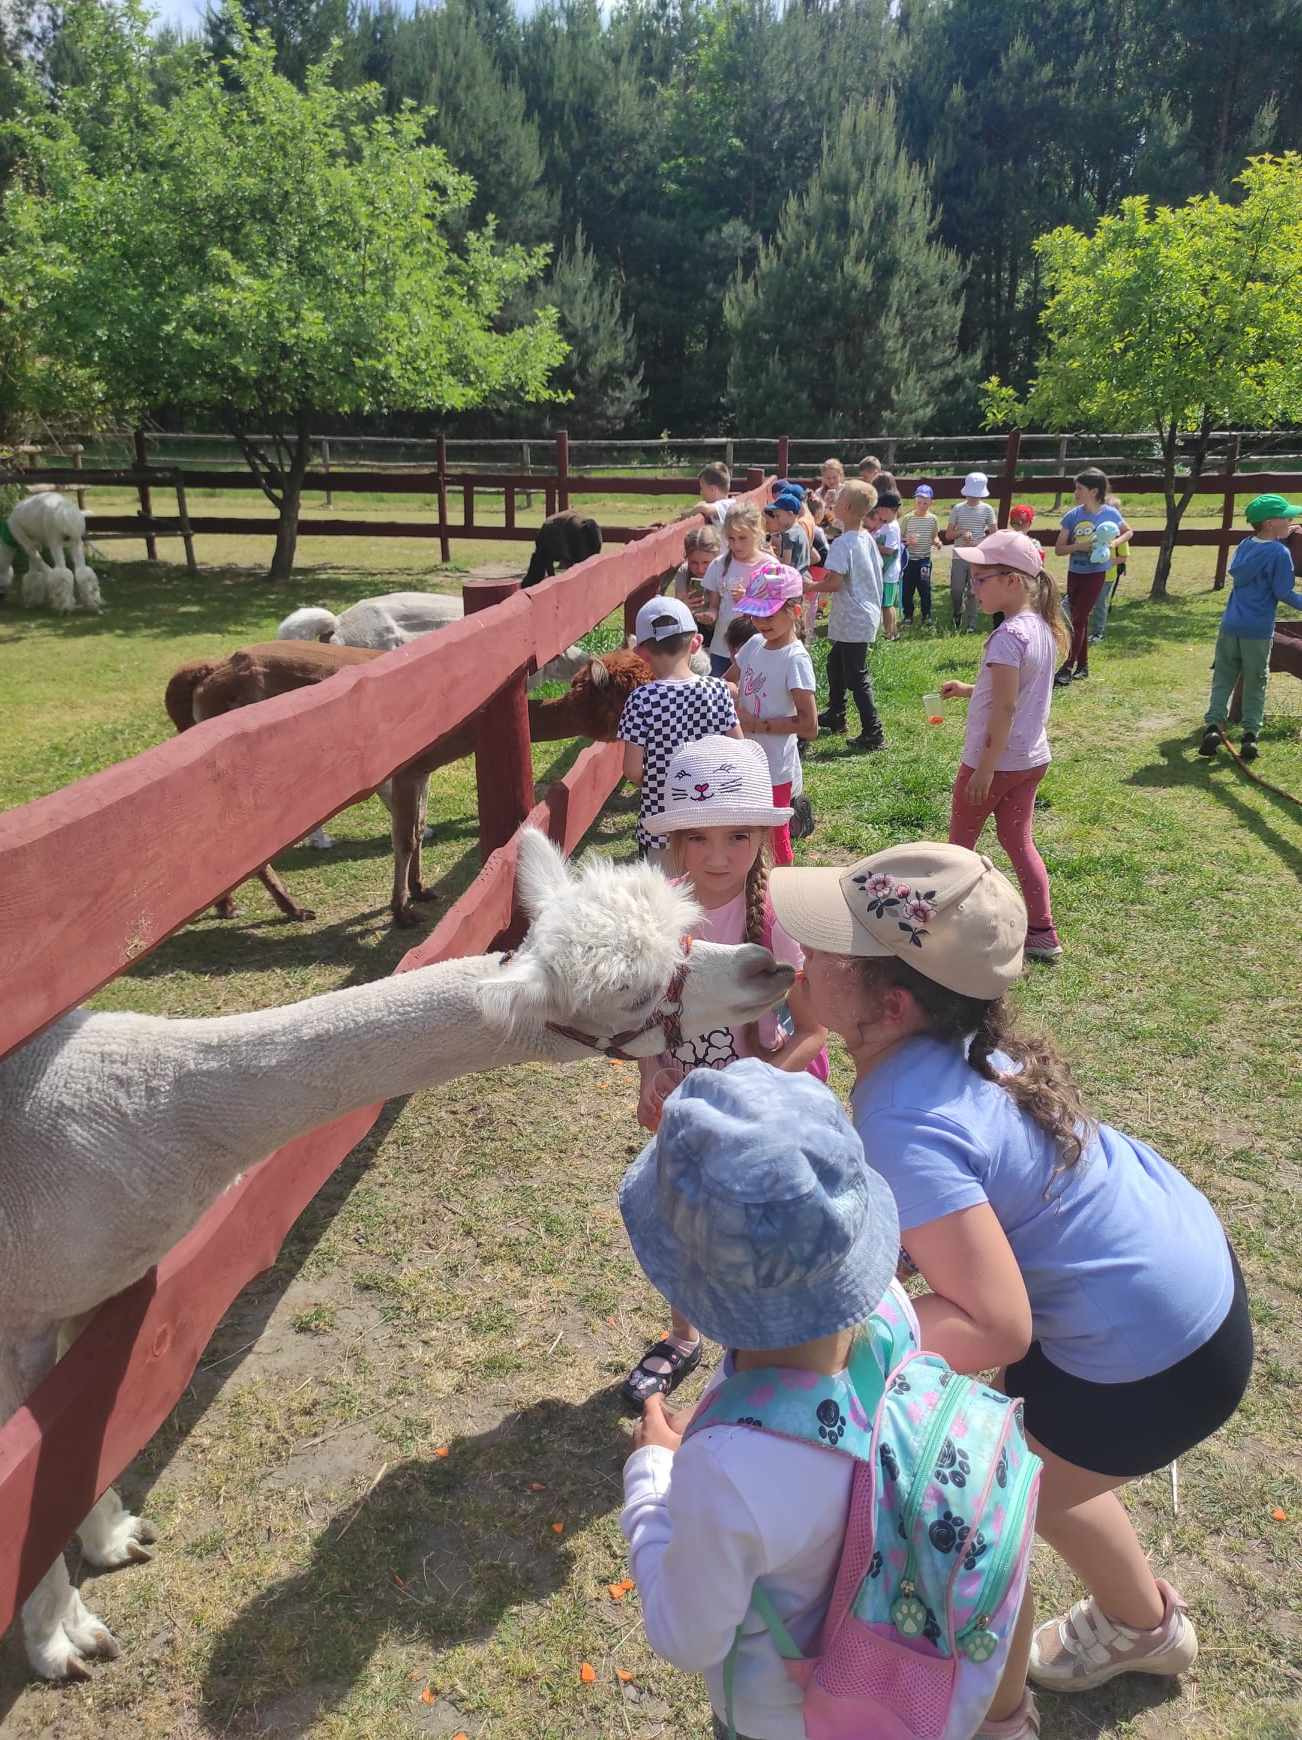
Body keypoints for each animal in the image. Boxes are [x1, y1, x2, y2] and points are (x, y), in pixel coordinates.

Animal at [0, 826, 794, 1681]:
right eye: (635, 995)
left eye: (685, 931)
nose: (766, 964)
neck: (140, 1108)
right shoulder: (20, 1307)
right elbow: (27, 1487)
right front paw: (61, 1638)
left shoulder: (100, 1292)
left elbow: (76, 1452)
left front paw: (110, 1538)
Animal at [165, 643, 654, 925]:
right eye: (634, 696)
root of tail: (208, 674)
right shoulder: (402, 771)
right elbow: (401, 839)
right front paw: (401, 911)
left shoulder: (421, 770)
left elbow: (417, 830)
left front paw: (420, 889)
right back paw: (289, 907)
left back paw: (229, 905)